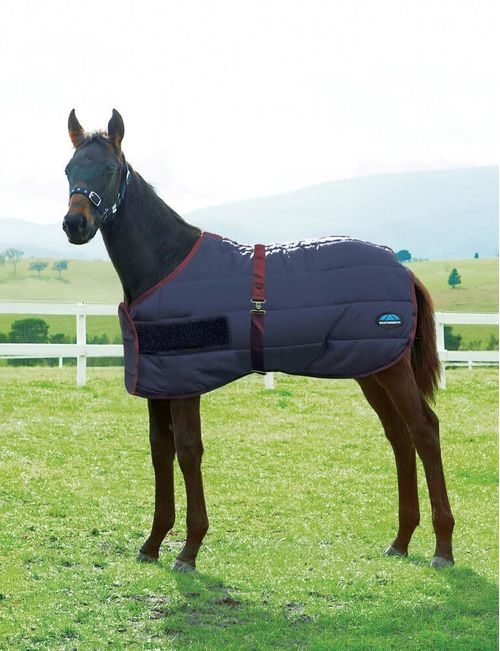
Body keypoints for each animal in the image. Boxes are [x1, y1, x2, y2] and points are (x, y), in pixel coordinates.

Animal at [62, 109, 455, 572]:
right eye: (68, 169)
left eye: (108, 170)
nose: (75, 225)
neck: (167, 263)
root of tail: (403, 269)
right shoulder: (159, 383)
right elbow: (160, 451)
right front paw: (153, 543)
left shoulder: (186, 384)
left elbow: (188, 451)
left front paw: (189, 549)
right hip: (371, 369)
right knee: (399, 436)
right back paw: (401, 540)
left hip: (391, 370)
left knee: (424, 430)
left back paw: (443, 548)